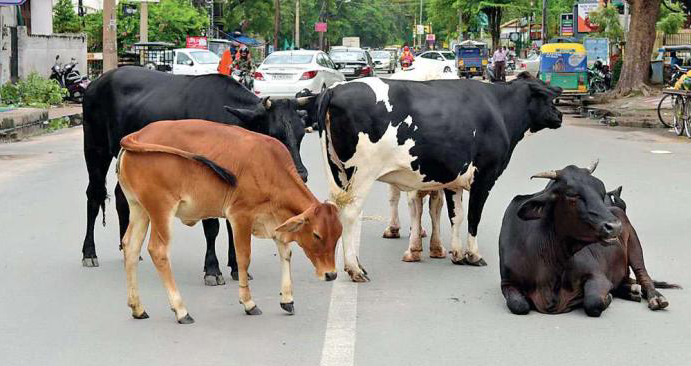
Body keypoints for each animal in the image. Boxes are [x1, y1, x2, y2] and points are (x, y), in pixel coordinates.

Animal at [79, 66, 310, 286]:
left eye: (301, 134)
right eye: (275, 135)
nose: (301, 174)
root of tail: (97, 81)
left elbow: (231, 225)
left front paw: (236, 267)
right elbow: (212, 227)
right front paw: (213, 270)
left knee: (122, 198)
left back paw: (128, 249)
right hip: (95, 148)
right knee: (94, 195)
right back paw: (89, 253)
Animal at [117, 120, 342, 324]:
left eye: (338, 235)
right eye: (317, 235)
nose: (331, 275)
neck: (270, 167)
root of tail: (138, 135)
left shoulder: (275, 221)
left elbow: (286, 253)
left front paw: (287, 299)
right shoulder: (240, 216)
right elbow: (243, 258)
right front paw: (249, 303)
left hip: (139, 209)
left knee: (130, 247)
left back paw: (138, 308)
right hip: (161, 210)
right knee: (158, 250)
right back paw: (181, 310)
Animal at [316, 72, 564, 284]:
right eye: (548, 98)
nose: (560, 116)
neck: (499, 109)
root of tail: (336, 89)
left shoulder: (454, 180)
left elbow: (457, 216)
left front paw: (456, 254)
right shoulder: (484, 178)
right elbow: (473, 217)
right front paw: (473, 255)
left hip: (339, 174)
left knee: (342, 211)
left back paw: (357, 266)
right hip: (362, 174)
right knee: (351, 214)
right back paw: (355, 269)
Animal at [500, 163, 680, 318]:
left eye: (601, 191)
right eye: (572, 194)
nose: (615, 226)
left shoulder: (597, 275)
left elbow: (593, 302)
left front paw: (607, 298)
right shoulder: (507, 282)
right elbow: (519, 305)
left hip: (634, 245)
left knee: (643, 274)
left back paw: (655, 298)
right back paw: (631, 290)